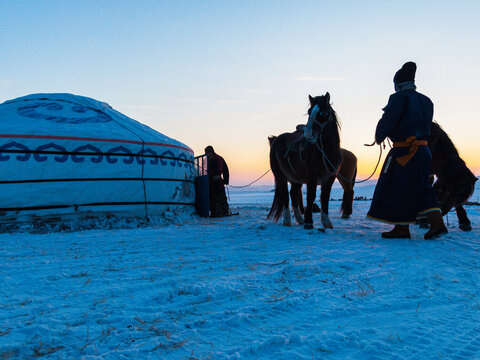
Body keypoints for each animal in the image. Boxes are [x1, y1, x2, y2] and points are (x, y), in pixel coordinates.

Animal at [268, 92, 344, 228]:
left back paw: (300, 219)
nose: (308, 134)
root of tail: (276, 139)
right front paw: (309, 222)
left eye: (323, 113)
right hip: (280, 176)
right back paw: (287, 220)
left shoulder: (330, 177)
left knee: (293, 194)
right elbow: (311, 196)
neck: (327, 152)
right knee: (285, 195)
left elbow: (325, 197)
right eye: (309, 112)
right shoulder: (311, 176)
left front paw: (326, 222)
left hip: (296, 179)